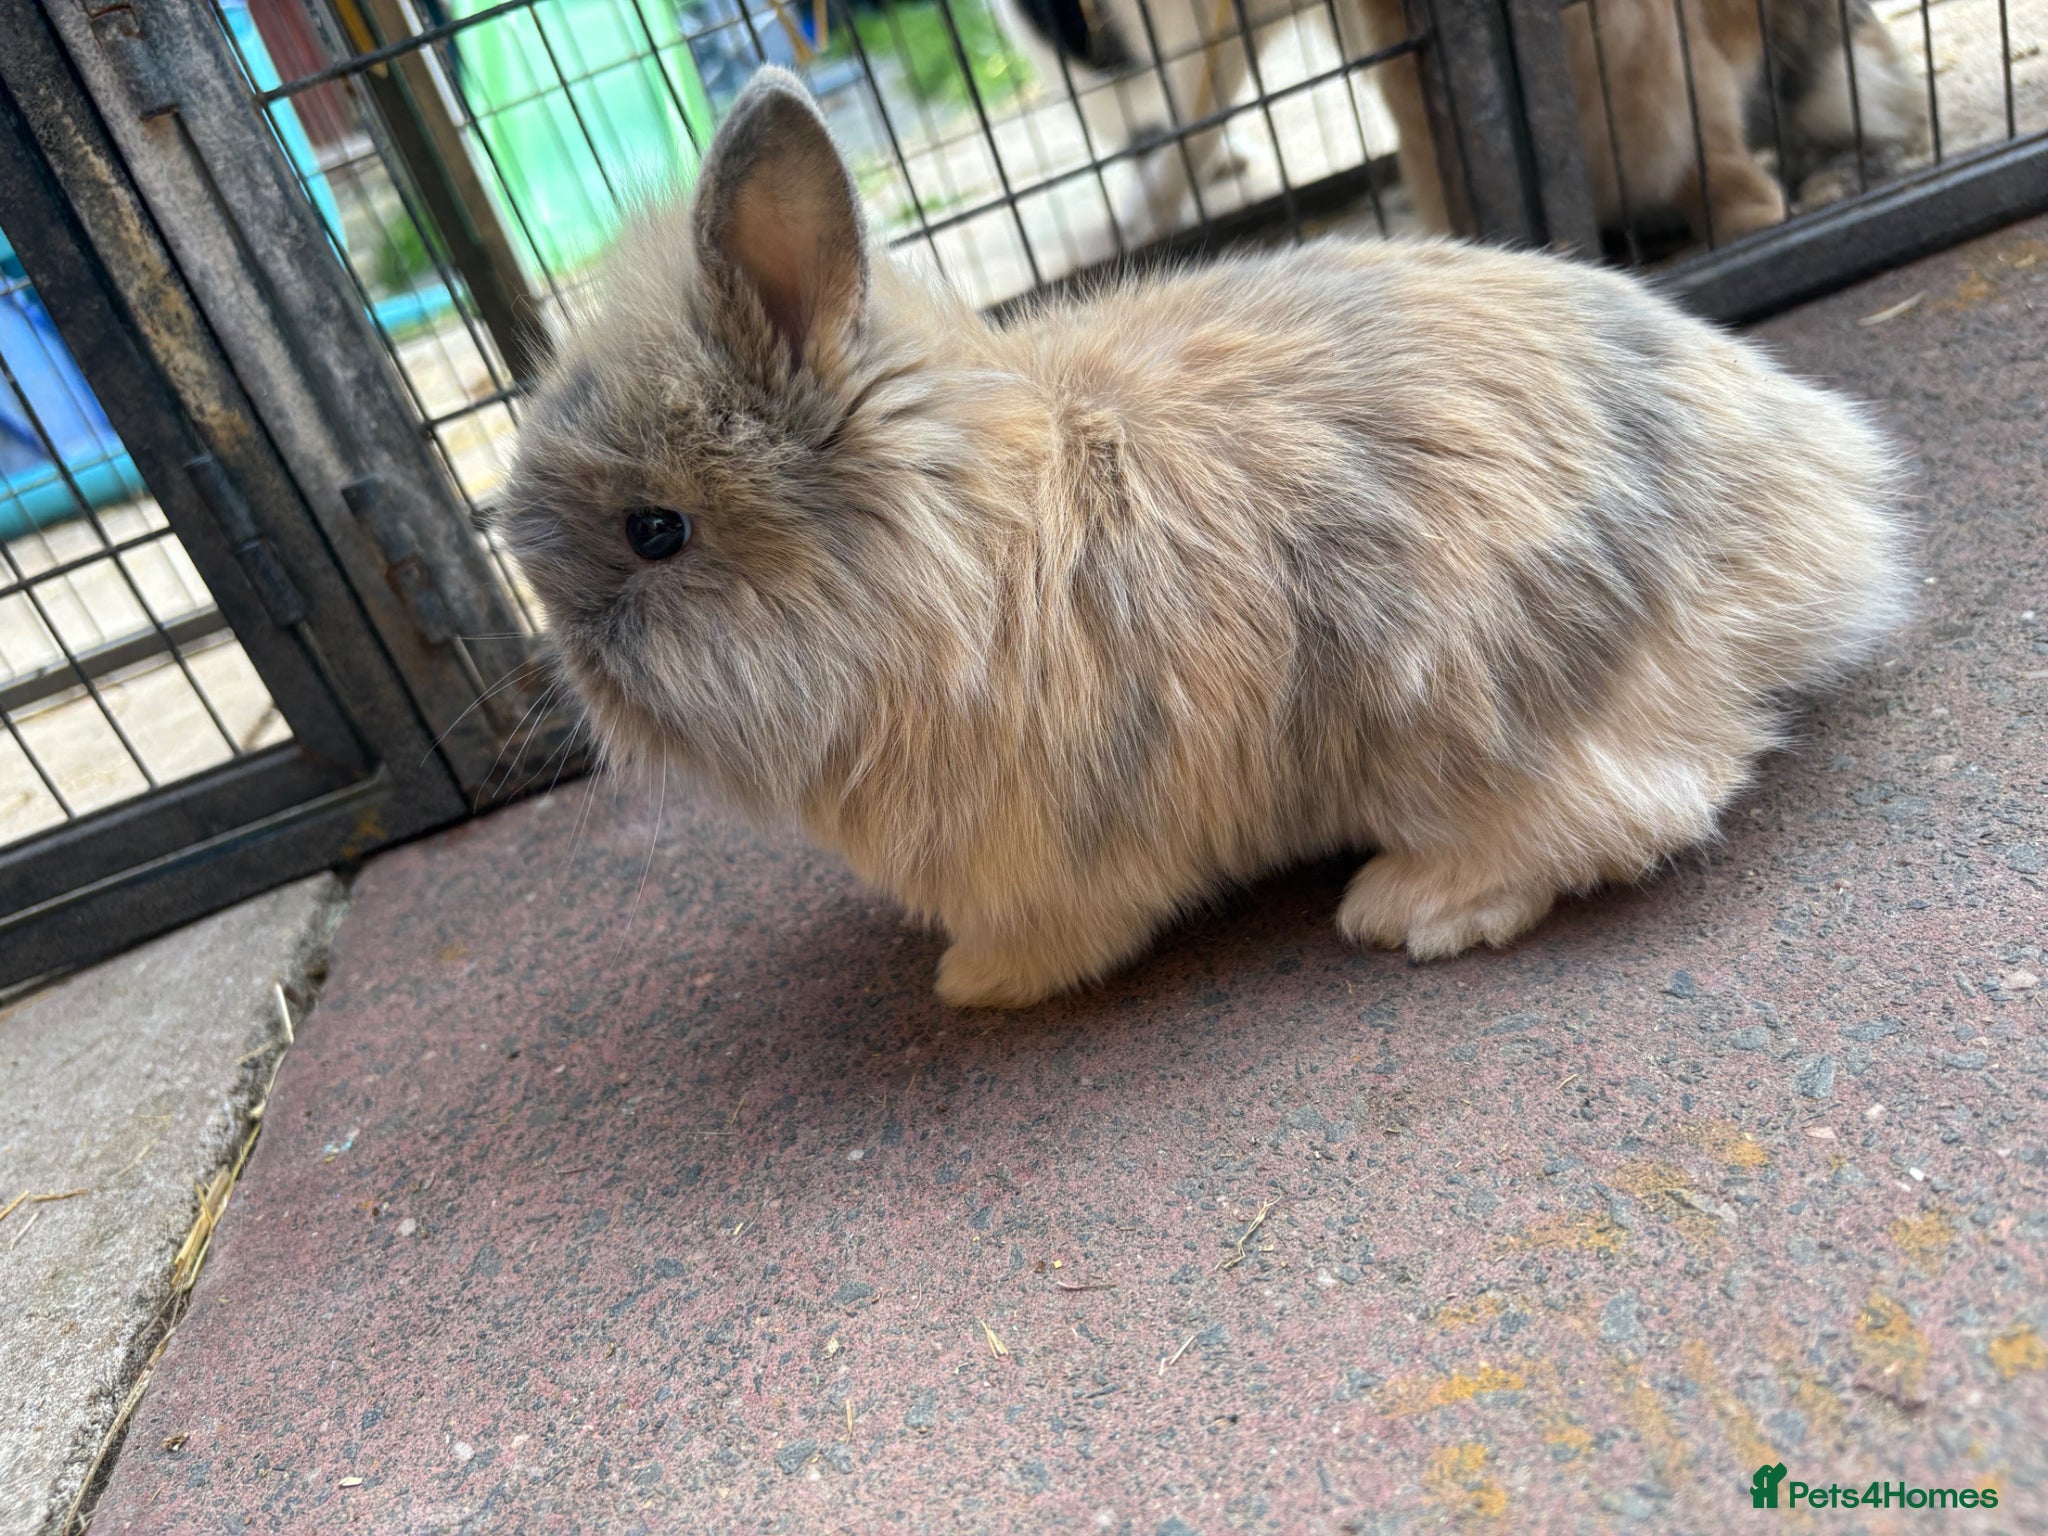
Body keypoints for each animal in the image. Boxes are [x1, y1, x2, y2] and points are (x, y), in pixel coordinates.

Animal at [498, 68, 1909, 1009]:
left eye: (656, 532)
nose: (571, 666)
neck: (945, 555)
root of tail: (1827, 522)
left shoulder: (1055, 855)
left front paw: (971, 981)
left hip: (1482, 710)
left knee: (1642, 803)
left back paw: (1409, 906)